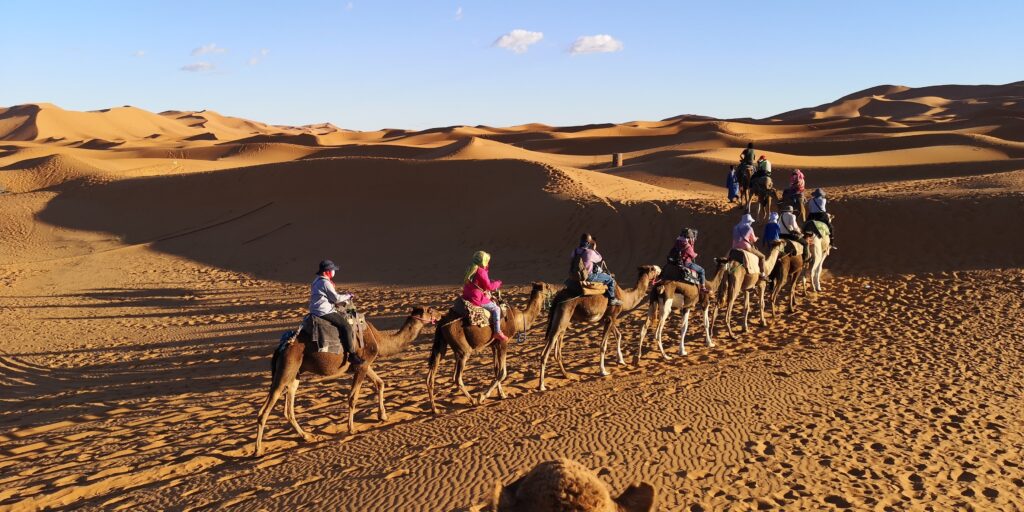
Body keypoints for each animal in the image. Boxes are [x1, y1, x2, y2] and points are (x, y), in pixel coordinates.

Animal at [253, 303, 442, 456]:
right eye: (430, 310)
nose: (440, 315)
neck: (378, 339)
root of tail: (281, 347)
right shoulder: (362, 365)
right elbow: (353, 397)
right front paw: (352, 429)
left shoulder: (365, 364)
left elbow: (380, 383)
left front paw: (383, 416)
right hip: (285, 370)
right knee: (265, 410)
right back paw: (258, 450)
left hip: (295, 375)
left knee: (288, 409)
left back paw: (307, 436)